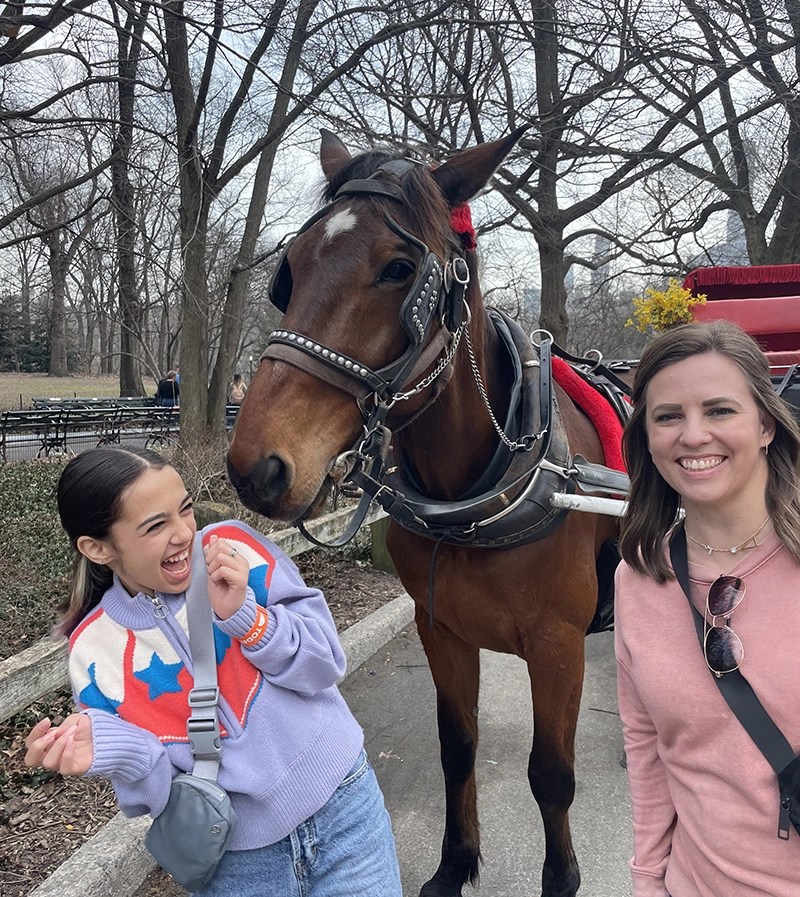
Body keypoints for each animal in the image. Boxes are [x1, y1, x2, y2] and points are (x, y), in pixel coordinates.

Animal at [228, 130, 620, 892]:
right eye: (290, 269)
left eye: (400, 268)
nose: (257, 467)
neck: (471, 498)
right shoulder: (441, 626)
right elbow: (458, 747)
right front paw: (455, 863)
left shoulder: (559, 644)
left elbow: (552, 775)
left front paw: (560, 877)